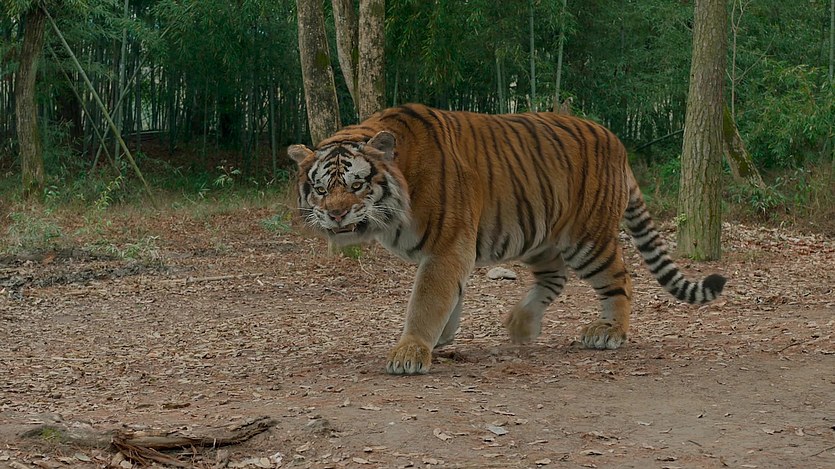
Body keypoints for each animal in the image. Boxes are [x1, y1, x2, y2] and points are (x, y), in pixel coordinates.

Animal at [288, 103, 726, 375]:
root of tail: (616, 141)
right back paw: (521, 325)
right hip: (538, 233)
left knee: (621, 278)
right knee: (555, 277)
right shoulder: (451, 250)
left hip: (586, 240)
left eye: (357, 185)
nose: (336, 214)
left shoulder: (448, 245)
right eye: (321, 189)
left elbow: (426, 300)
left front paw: (410, 350)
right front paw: (443, 337)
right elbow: (450, 295)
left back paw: (609, 332)